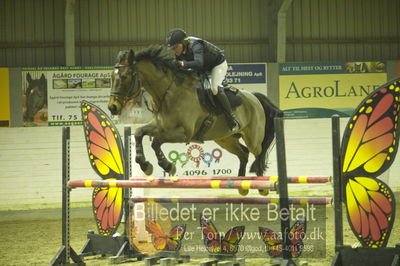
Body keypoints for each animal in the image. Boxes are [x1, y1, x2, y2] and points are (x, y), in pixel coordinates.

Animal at [106, 45, 282, 194]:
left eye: (124, 76)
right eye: (111, 77)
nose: (112, 107)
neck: (169, 93)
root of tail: (254, 97)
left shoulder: (184, 133)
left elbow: (156, 141)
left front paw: (167, 166)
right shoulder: (160, 126)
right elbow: (139, 133)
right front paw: (145, 165)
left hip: (252, 137)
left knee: (258, 154)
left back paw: (262, 186)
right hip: (225, 139)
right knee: (243, 154)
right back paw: (241, 184)